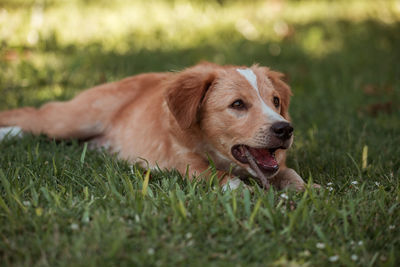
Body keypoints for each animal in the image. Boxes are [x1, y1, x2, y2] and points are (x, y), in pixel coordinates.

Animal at [0, 62, 312, 192]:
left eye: (275, 101)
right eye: (237, 104)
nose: (285, 129)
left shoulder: (275, 165)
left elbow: (290, 173)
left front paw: (310, 190)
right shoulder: (182, 161)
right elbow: (216, 175)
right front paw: (245, 192)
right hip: (71, 119)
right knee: (33, 115)